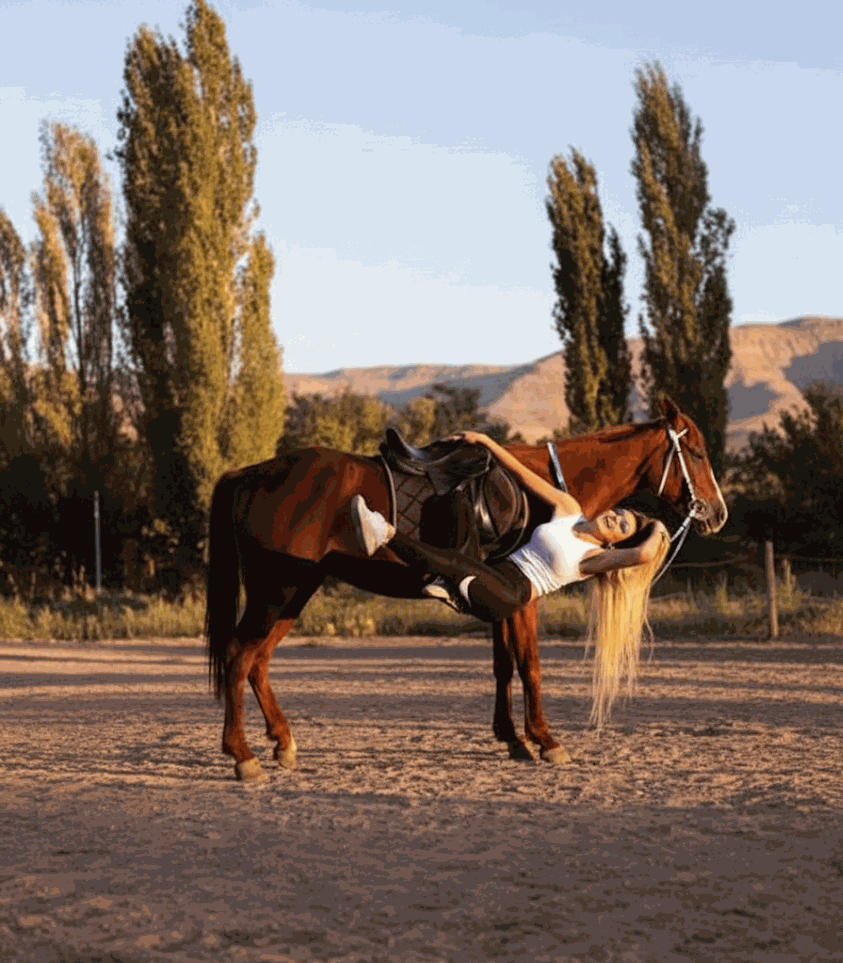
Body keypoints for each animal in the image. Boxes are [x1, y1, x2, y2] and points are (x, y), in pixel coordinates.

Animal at [206, 396, 727, 780]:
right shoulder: (523, 599)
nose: (717, 513)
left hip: (294, 591)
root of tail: (250, 473)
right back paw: (243, 756)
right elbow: (530, 665)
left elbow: (503, 667)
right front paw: (545, 739)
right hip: (278, 590)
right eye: (697, 453)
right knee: (238, 655)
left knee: (257, 662)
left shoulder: (501, 598)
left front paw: (513, 739)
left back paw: (282, 742)